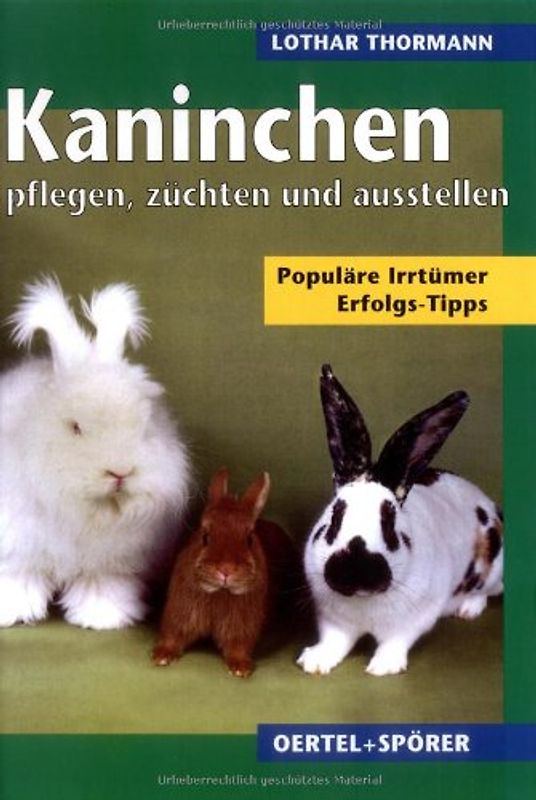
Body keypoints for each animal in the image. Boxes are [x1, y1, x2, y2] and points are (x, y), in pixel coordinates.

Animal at [0, 276, 190, 630]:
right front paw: (12, 612)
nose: (120, 472)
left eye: (145, 424)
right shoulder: (18, 545)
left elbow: (102, 585)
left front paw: (102, 618)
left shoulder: (110, 562)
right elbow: (19, 576)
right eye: (75, 427)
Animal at [152, 467, 298, 677]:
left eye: (249, 538)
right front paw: (162, 656)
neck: (219, 592)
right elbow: (173, 636)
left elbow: (237, 647)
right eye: (205, 536)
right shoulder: (179, 615)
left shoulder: (241, 629)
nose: (225, 569)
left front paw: (240, 669)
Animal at [297, 364, 503, 677]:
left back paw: (468, 609)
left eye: (389, 522)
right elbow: (335, 641)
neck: (363, 602)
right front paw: (315, 662)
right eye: (335, 517)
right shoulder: (333, 619)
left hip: (493, 569)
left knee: (486, 591)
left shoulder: (414, 619)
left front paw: (383, 667)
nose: (356, 570)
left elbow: (396, 641)